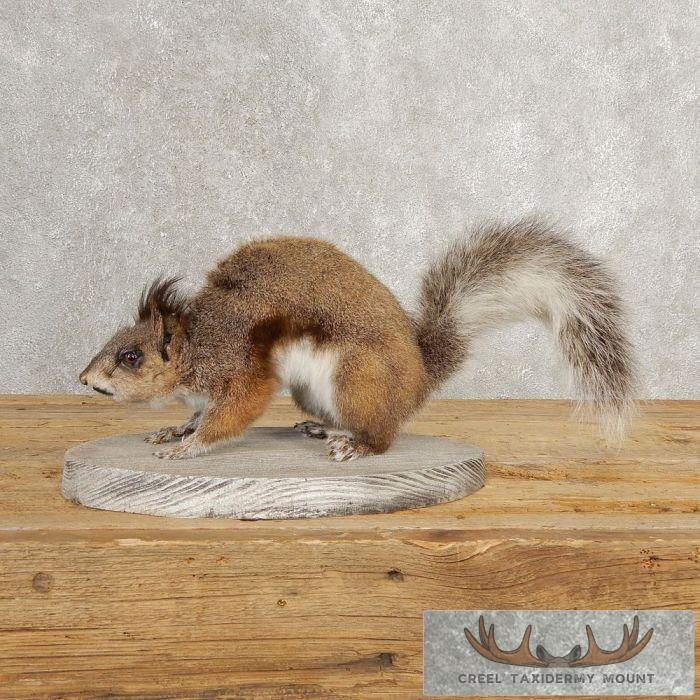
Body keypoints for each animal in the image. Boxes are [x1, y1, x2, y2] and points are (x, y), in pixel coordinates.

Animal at [79, 217, 635, 461]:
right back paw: (323, 429)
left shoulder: (240, 369)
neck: (198, 345)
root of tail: (417, 379)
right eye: (116, 341)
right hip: (317, 391)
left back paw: (358, 446)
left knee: (385, 436)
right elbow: (196, 414)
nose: (85, 380)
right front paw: (173, 431)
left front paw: (190, 446)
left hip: (357, 377)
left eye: (131, 356)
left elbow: (233, 411)